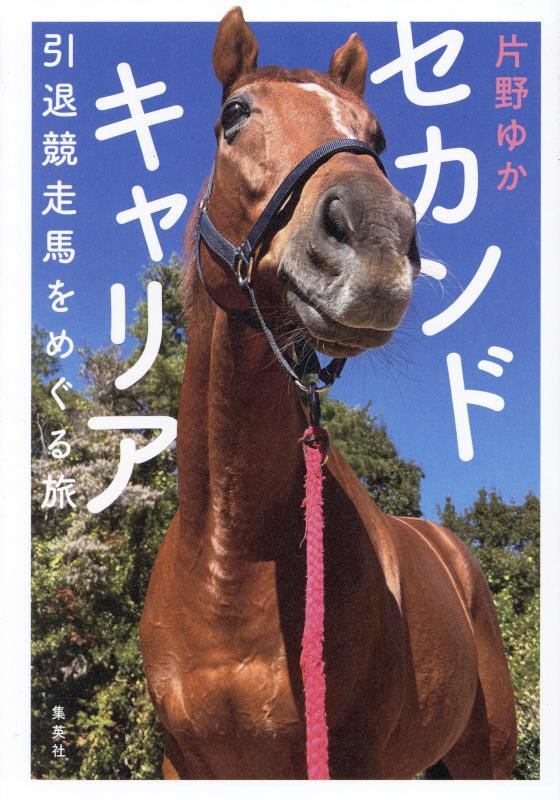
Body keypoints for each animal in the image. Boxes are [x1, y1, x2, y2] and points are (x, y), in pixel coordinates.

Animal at [139, 7, 517, 779]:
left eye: (376, 137)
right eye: (235, 114)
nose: (377, 241)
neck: (231, 559)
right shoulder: (184, 763)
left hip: (486, 752)